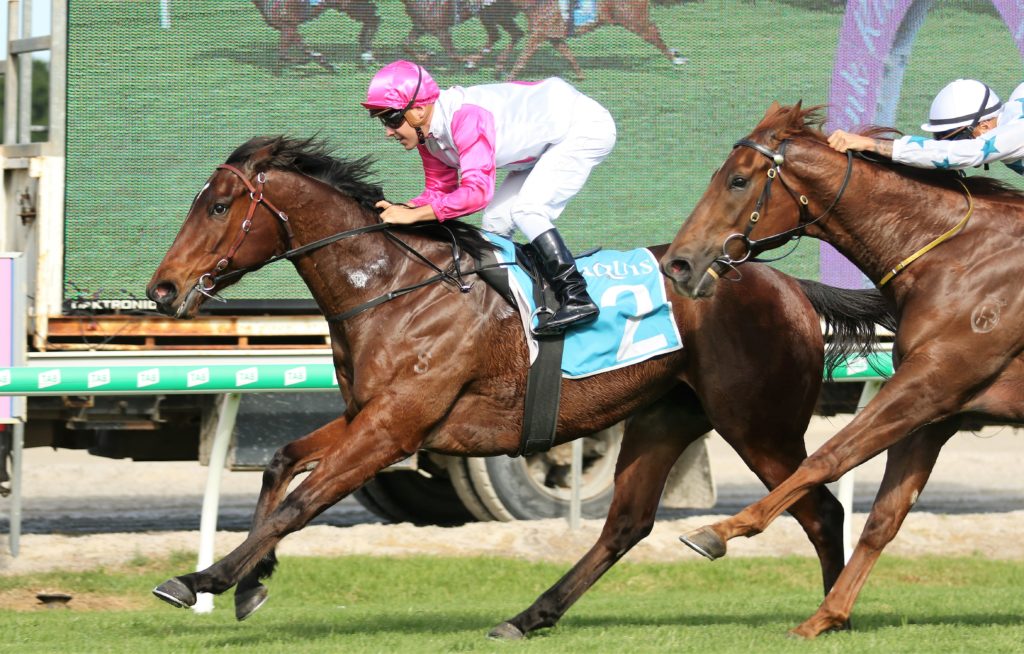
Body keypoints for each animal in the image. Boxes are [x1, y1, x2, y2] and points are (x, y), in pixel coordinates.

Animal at [145, 135, 892, 638]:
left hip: (757, 422)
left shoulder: (394, 426)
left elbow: (304, 502)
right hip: (666, 414)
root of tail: (787, 283)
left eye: (218, 206)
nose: (163, 289)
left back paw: (831, 615)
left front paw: (202, 579)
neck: (394, 289)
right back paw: (531, 615)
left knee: (820, 509)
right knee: (626, 524)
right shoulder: (369, 415)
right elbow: (281, 464)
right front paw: (251, 582)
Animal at [494, 0, 686, 80]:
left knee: (654, 34)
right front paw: (580, 76)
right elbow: (569, 56)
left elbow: (522, 58)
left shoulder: (538, 34)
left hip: (634, 20)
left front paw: (509, 78)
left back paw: (675, 58)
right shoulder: (554, 36)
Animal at [660, 102, 1024, 638]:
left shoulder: (932, 382)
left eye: (738, 180)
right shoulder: (937, 408)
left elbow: (826, 459)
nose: (678, 264)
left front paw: (719, 531)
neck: (958, 257)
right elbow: (884, 517)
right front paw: (826, 615)